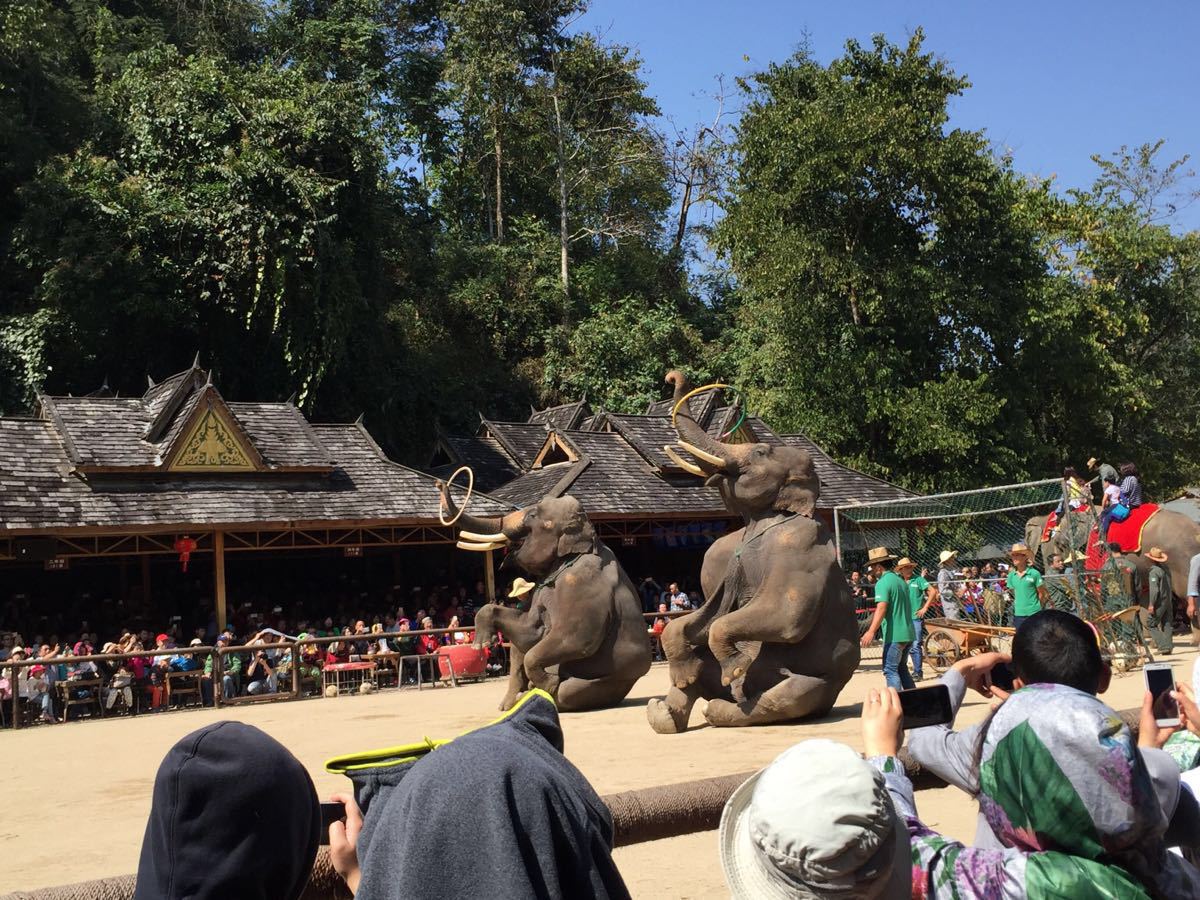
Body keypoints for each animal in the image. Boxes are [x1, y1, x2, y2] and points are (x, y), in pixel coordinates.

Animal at [439, 482, 652, 715]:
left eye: (532, 515)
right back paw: (512, 702)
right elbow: (530, 630)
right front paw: (483, 643)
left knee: (569, 691)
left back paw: (535, 694)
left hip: (616, 682)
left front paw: (549, 684)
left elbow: (576, 638)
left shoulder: (582, 584)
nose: (441, 484)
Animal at [652, 372, 859, 734]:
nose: (672, 376)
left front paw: (736, 666)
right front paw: (682, 673)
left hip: (821, 687)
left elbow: (786, 615)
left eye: (761, 451)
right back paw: (662, 714)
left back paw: (721, 707)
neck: (758, 519)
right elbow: (705, 615)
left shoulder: (800, 544)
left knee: (789, 697)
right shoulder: (722, 559)